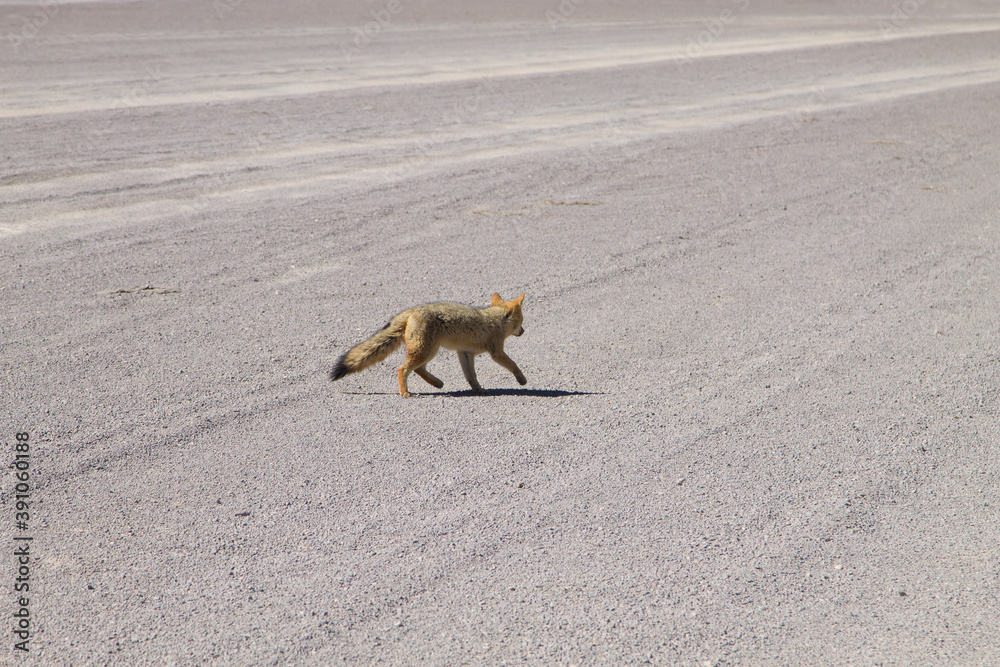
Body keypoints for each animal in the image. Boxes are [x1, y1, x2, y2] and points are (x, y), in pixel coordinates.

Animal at [330, 292, 527, 397]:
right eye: (522, 322)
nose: (524, 331)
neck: (495, 320)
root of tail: (412, 310)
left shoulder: (465, 353)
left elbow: (471, 376)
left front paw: (479, 390)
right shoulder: (496, 352)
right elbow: (513, 365)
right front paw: (522, 379)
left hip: (429, 351)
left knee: (418, 369)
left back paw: (437, 383)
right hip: (426, 351)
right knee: (403, 369)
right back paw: (405, 392)